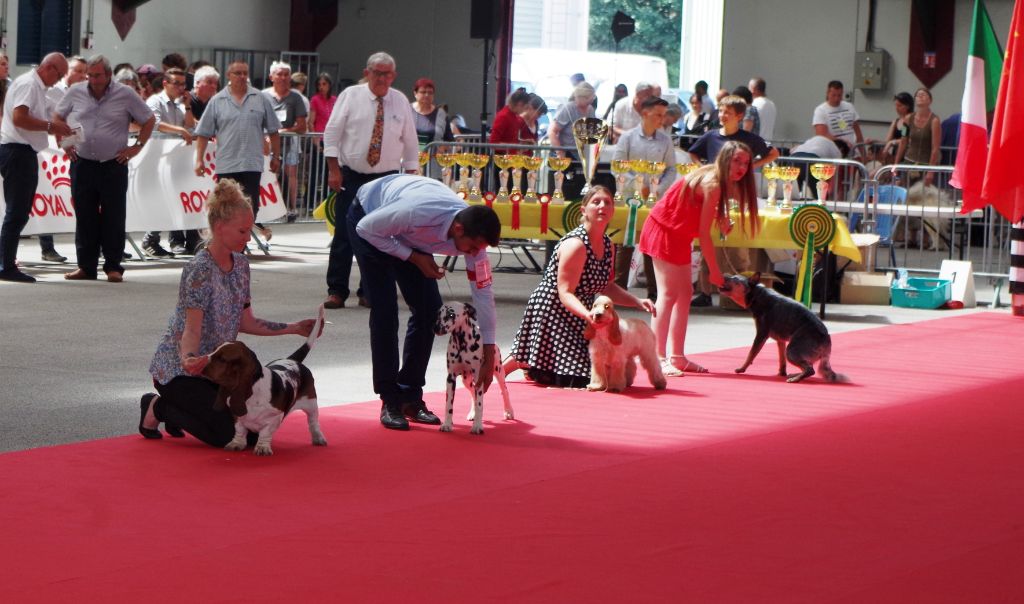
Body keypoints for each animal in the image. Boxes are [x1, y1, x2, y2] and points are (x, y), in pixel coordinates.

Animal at [432, 303, 512, 436]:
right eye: (438, 313)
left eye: (451, 314)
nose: (436, 328)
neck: (462, 344)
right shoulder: (450, 378)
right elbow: (449, 405)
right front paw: (447, 424)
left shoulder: (480, 377)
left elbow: (480, 404)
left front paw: (477, 426)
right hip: (467, 381)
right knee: (472, 394)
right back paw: (472, 413)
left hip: (498, 371)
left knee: (504, 391)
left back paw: (509, 411)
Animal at [712, 274, 847, 382]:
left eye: (735, 279)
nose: (724, 274)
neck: (757, 295)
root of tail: (826, 340)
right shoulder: (780, 341)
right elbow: (781, 360)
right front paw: (782, 373)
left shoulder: (761, 335)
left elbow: (751, 353)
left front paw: (741, 368)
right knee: (807, 367)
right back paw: (795, 374)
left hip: (792, 350)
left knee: (810, 369)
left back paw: (795, 379)